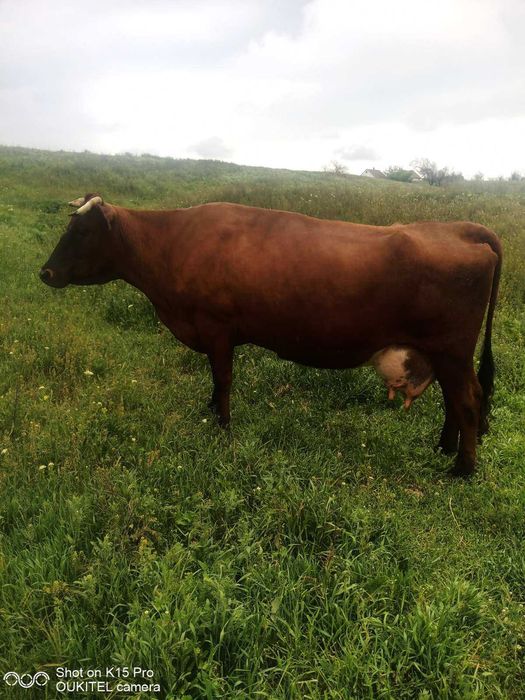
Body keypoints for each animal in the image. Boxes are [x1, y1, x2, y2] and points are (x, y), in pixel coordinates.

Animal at [40, 194, 502, 477]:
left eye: (82, 232)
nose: (46, 272)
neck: (175, 243)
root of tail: (461, 227)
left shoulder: (217, 327)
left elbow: (223, 379)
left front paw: (222, 426)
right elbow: (215, 381)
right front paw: (210, 412)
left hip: (452, 351)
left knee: (467, 400)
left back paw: (462, 469)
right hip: (442, 354)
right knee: (454, 401)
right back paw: (444, 448)